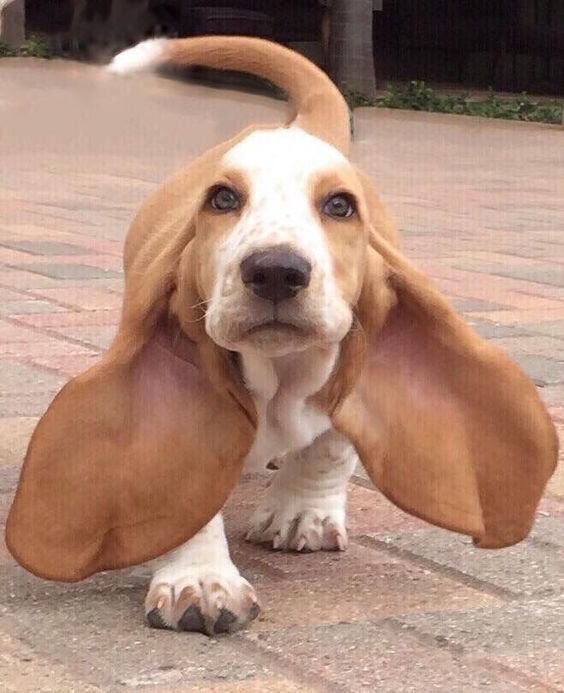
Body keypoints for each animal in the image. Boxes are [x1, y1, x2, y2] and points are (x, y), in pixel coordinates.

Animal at [5, 36, 560, 632]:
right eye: (222, 199)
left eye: (340, 205)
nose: (276, 270)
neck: (280, 374)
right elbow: (187, 495)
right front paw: (201, 581)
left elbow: (331, 446)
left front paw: (301, 514)